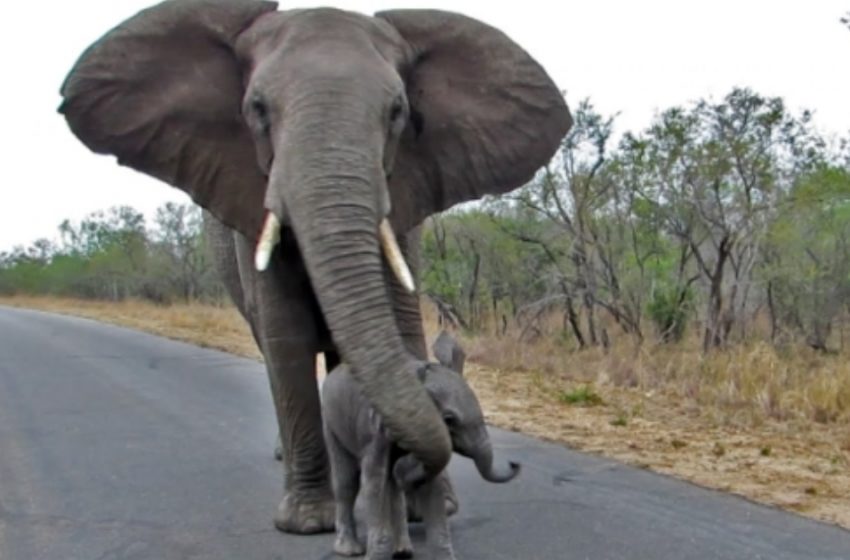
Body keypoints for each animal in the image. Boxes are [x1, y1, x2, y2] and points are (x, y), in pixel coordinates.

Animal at [59, 0, 568, 532]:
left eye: (398, 112)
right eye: (257, 109)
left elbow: (402, 325)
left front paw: (430, 507)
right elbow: (286, 339)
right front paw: (308, 522)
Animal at [320, 332, 516, 556]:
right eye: (448, 420)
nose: (514, 464)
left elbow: (430, 485)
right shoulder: (375, 433)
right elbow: (374, 481)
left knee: (392, 488)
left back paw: (403, 550)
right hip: (331, 421)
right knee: (347, 481)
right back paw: (349, 550)